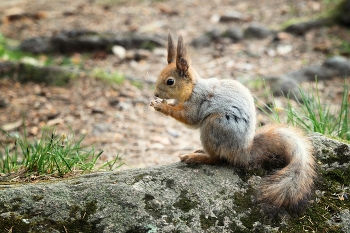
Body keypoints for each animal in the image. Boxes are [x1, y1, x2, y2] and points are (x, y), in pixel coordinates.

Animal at [149, 33, 316, 212]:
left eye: (170, 81)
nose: (155, 93)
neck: (192, 88)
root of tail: (243, 151)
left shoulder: (197, 103)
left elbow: (190, 118)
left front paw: (162, 106)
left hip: (213, 125)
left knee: (217, 159)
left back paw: (196, 157)